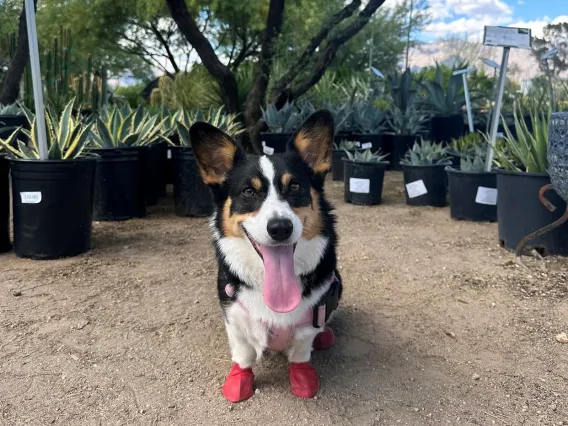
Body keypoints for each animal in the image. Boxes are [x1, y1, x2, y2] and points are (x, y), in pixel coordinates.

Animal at [190, 110, 342, 402]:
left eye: (294, 186)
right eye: (249, 191)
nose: (281, 228)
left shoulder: (311, 318)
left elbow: (300, 350)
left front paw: (302, 377)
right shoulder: (234, 317)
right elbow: (244, 353)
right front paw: (240, 380)